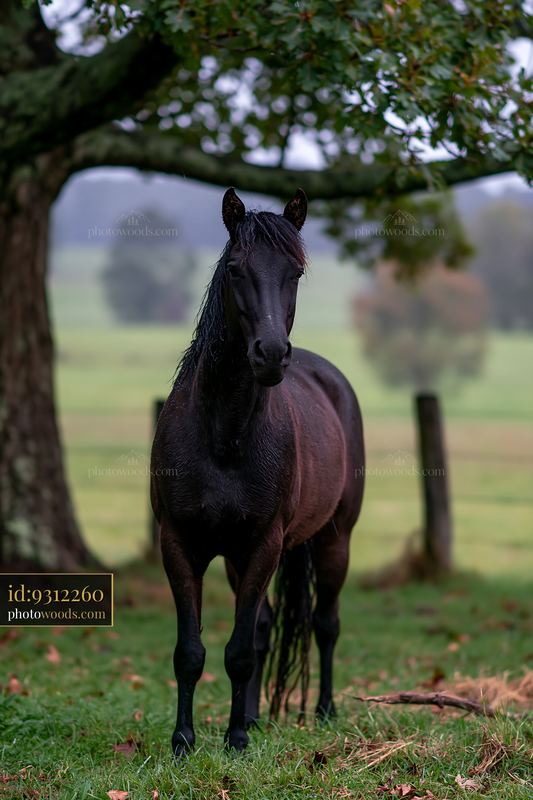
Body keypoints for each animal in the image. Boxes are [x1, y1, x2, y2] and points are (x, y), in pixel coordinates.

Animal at [150, 187, 365, 756]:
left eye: (296, 272)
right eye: (235, 270)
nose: (270, 354)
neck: (224, 434)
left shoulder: (265, 544)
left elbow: (240, 651)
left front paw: (235, 740)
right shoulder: (181, 544)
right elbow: (192, 651)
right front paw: (184, 741)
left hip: (334, 540)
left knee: (325, 624)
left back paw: (324, 710)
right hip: (238, 558)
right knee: (266, 627)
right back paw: (252, 714)